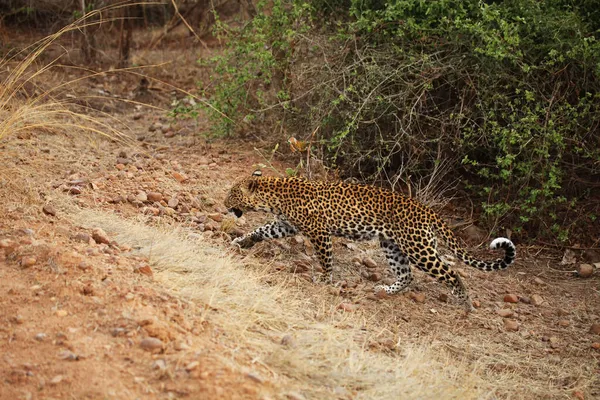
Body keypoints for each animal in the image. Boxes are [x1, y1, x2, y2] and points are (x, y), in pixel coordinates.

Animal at [225, 169, 516, 310]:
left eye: (232, 194)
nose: (224, 204)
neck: (273, 197)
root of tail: (428, 211)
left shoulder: (319, 233)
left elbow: (326, 259)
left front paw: (325, 279)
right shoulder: (284, 226)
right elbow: (261, 230)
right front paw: (242, 242)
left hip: (418, 248)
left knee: (451, 272)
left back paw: (465, 303)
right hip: (392, 245)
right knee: (407, 275)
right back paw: (385, 290)